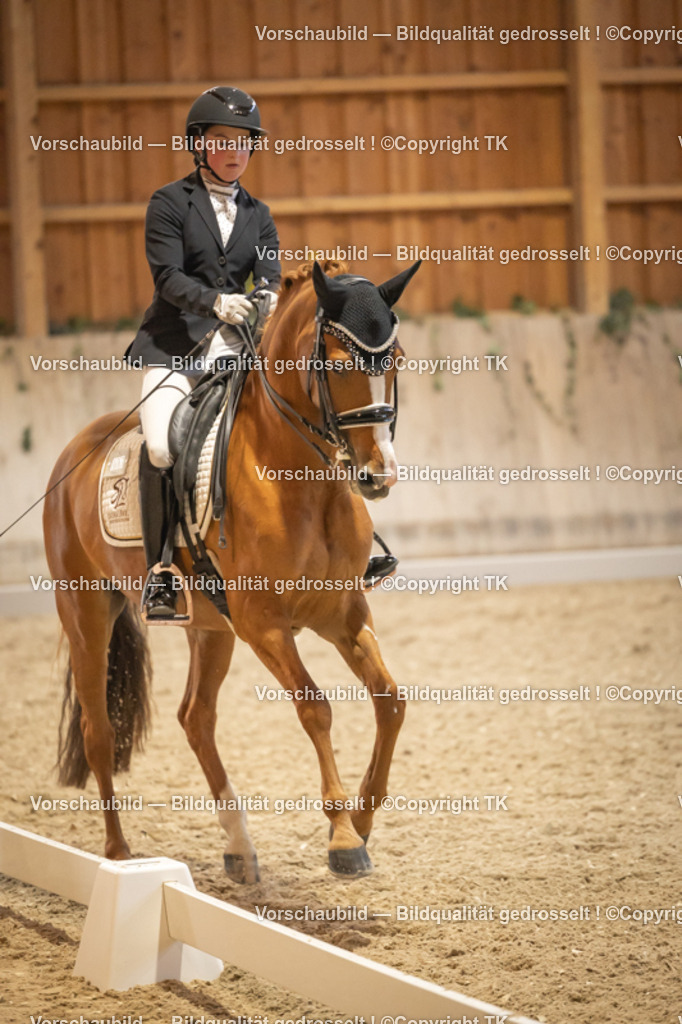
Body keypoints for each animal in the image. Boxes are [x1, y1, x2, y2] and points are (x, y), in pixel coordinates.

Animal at [44, 258, 420, 881]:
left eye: (396, 359)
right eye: (336, 364)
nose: (377, 476)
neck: (299, 480)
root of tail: (74, 448)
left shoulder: (341, 610)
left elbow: (390, 699)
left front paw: (364, 819)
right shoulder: (263, 623)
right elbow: (315, 708)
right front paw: (343, 837)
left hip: (209, 628)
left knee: (195, 717)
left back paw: (239, 846)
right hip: (86, 612)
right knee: (100, 732)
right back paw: (118, 855)